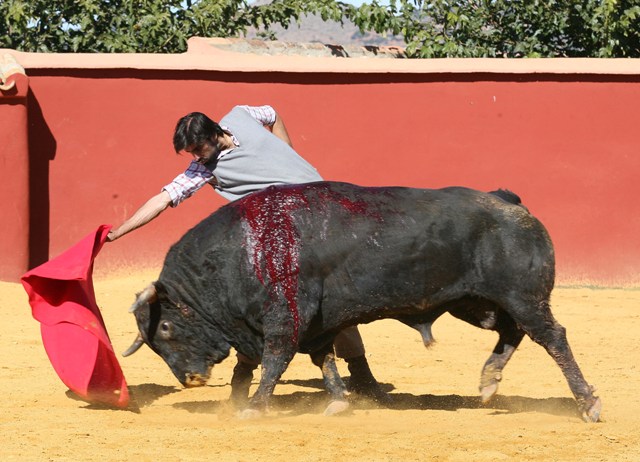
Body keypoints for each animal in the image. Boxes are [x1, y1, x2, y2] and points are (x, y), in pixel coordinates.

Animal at [124, 180, 600, 422]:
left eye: (165, 327)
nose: (190, 380)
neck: (242, 251)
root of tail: (509, 202)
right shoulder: (317, 322)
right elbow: (323, 358)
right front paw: (338, 401)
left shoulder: (286, 316)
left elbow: (277, 358)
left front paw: (255, 408)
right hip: (476, 302)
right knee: (511, 332)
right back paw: (488, 382)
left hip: (523, 296)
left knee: (552, 336)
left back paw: (587, 404)